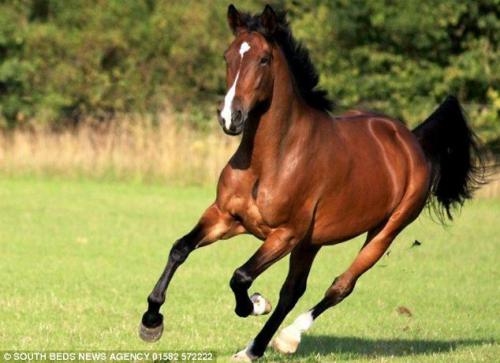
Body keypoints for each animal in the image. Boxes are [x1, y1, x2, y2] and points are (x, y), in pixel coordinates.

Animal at [138, 3, 484, 362]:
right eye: (227, 55)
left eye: (264, 59)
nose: (230, 118)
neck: (271, 159)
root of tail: (412, 141)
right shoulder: (226, 217)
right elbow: (180, 248)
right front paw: (151, 322)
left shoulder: (284, 234)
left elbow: (241, 277)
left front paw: (256, 303)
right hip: (311, 242)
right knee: (293, 290)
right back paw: (255, 347)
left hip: (384, 232)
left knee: (340, 286)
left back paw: (285, 338)